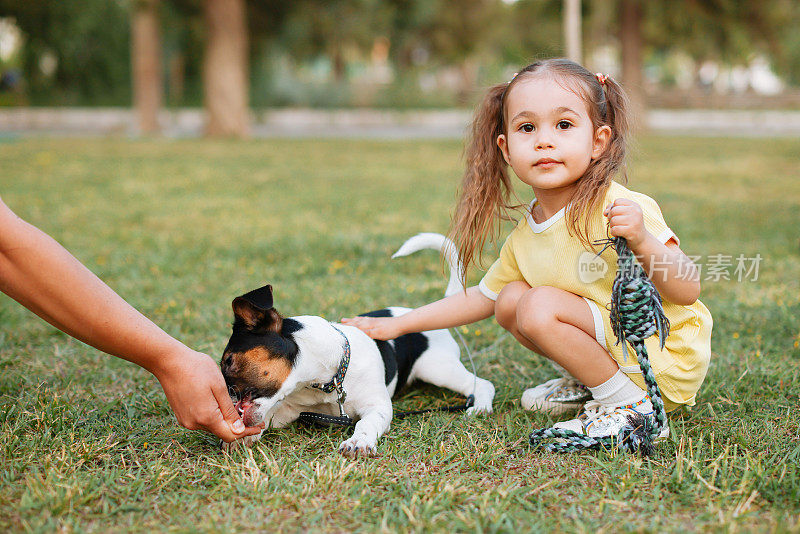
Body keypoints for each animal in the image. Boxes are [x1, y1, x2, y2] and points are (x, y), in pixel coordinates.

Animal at [219, 232, 494, 458]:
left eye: (228, 361)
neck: (326, 380)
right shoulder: (289, 409)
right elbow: (265, 417)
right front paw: (242, 438)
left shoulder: (378, 407)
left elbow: (365, 423)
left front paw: (358, 442)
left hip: (437, 368)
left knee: (482, 384)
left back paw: (480, 406)